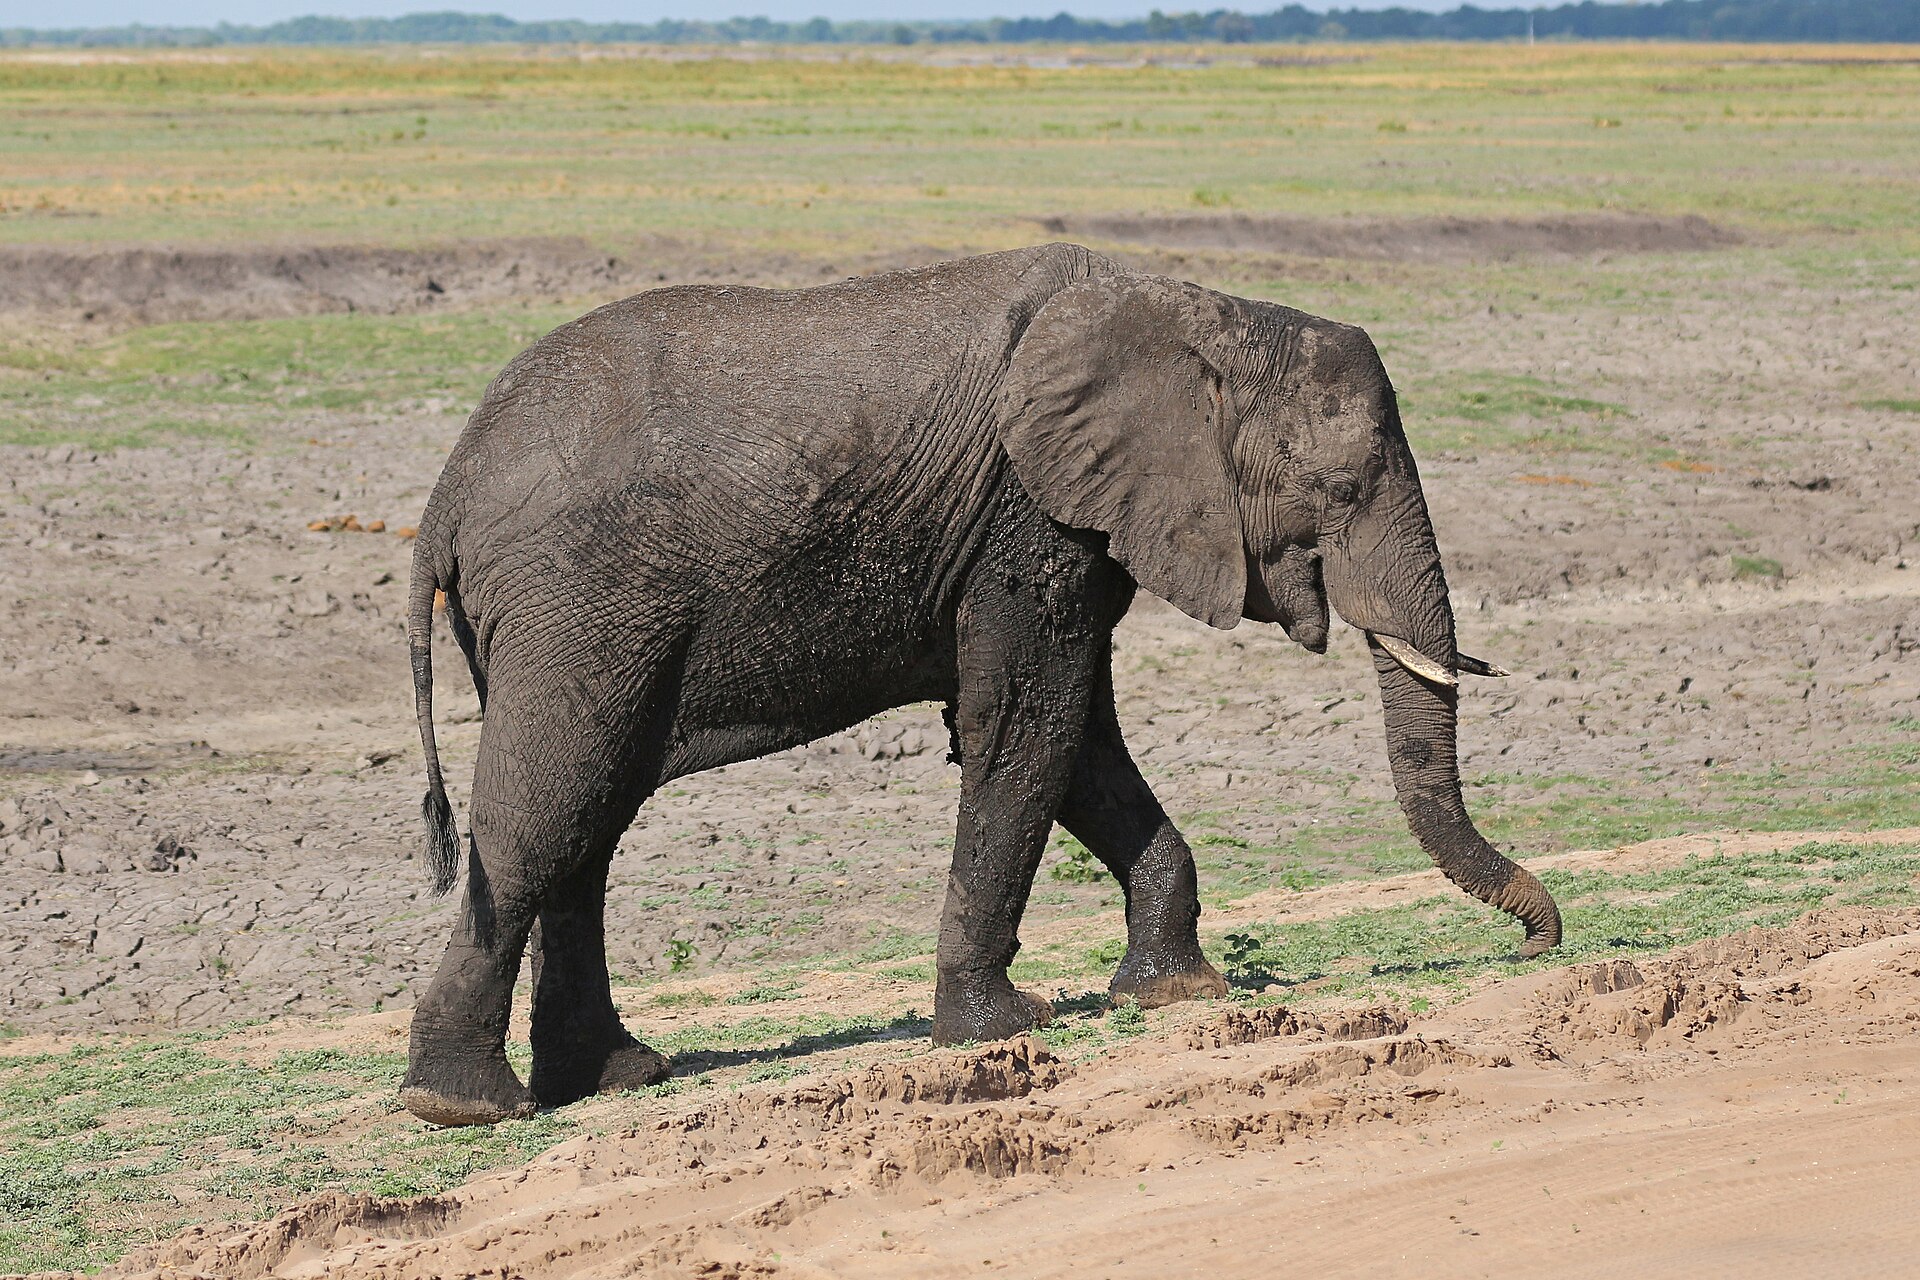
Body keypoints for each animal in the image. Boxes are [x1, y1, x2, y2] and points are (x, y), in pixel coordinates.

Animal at [397, 242, 1561, 1127]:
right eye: (1344, 487)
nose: (1540, 939)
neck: (1201, 313)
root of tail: (444, 493)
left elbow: (1076, 739)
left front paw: (1174, 991)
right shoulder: (1024, 513)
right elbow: (1026, 725)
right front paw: (1007, 1026)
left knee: (589, 822)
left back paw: (614, 1078)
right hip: (573, 603)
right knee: (548, 813)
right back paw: (464, 1107)